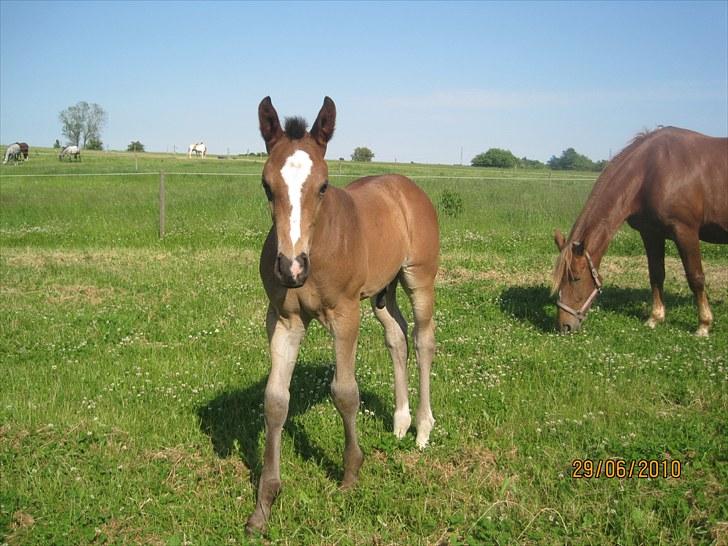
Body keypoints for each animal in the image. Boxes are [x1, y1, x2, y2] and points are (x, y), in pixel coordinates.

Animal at [246, 95, 438, 528]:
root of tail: (406, 186)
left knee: (422, 339)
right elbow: (275, 401)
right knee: (396, 337)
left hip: (419, 278)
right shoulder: (283, 320)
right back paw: (400, 422)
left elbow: (345, 392)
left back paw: (422, 429)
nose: (291, 267)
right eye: (266, 186)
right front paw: (264, 504)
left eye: (323, 186)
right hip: (382, 293)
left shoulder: (345, 314)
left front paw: (350, 475)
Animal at [556, 125, 724, 334]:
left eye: (576, 278)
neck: (654, 170)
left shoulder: (686, 232)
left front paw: (703, 325)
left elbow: (696, 278)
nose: (564, 326)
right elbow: (656, 274)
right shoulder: (651, 233)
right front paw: (655, 318)